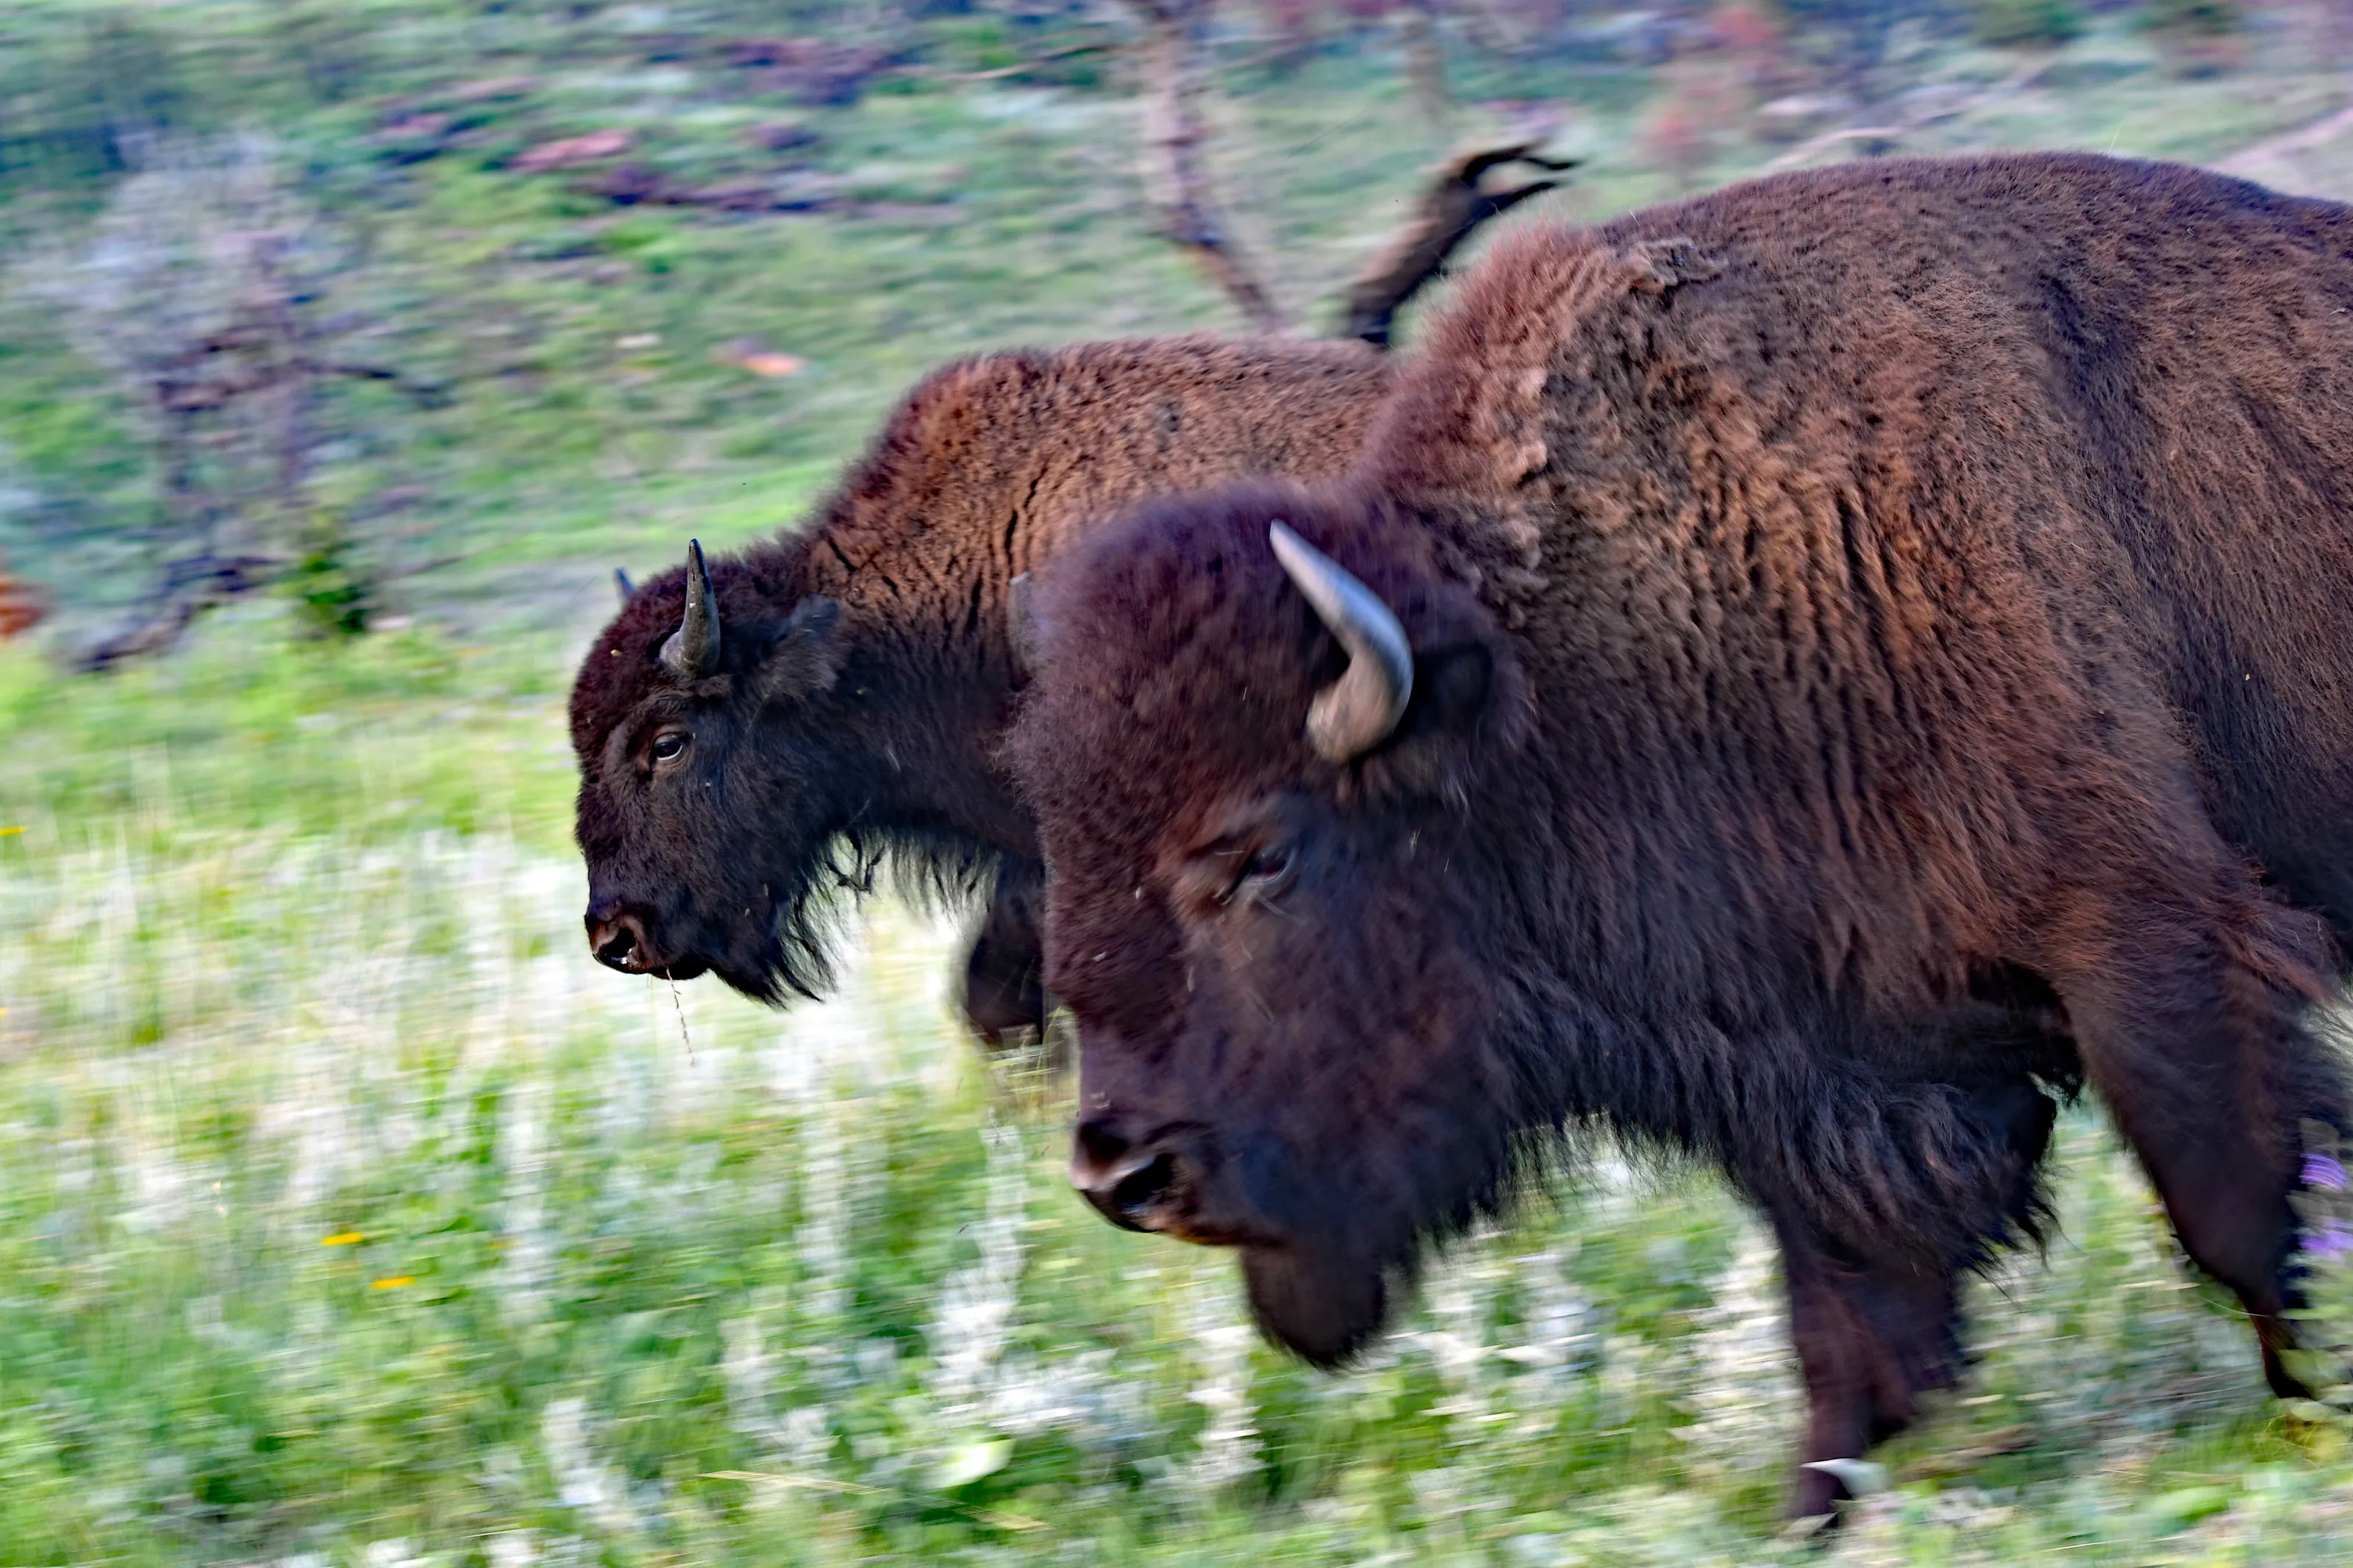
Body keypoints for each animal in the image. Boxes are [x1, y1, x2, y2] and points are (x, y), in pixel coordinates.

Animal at [1006, 153, 2353, 1516]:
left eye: (1259, 854)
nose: (1122, 1174)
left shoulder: (2145, 937)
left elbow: (2234, 1202)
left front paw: (2312, 1411)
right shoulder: (1813, 1062)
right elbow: (1846, 1322)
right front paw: (1817, 1508)